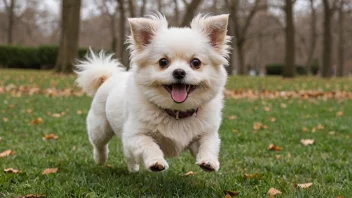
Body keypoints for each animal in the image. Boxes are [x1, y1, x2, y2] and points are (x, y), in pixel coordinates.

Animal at [75, 13, 231, 172]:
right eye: (163, 62)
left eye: (196, 62)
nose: (179, 72)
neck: (176, 112)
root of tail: (109, 77)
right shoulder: (135, 134)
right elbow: (149, 145)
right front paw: (156, 162)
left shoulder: (206, 134)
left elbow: (208, 145)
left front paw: (209, 161)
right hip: (100, 127)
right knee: (99, 144)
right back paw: (100, 159)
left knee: (128, 155)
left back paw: (133, 169)